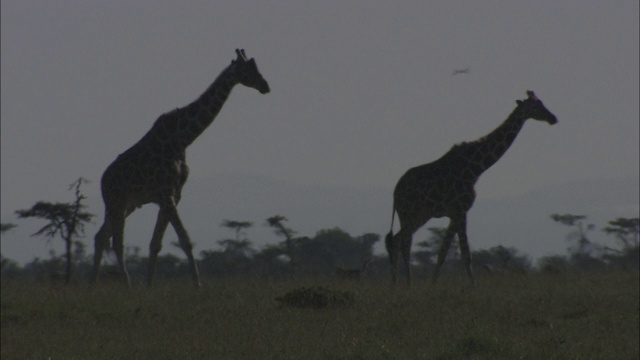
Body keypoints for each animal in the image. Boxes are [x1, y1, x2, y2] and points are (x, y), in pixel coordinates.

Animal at [91, 48, 268, 286]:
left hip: (128, 205)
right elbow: (185, 240)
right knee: (116, 243)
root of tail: (103, 180)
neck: (182, 140)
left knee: (101, 237)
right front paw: (197, 285)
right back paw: (127, 286)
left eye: (256, 66)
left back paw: (92, 286)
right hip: (116, 203)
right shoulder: (166, 194)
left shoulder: (174, 194)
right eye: (247, 69)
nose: (265, 86)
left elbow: (155, 244)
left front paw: (149, 286)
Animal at [384, 91, 556, 286]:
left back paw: (397, 285)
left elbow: (443, 252)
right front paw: (473, 287)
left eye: (542, 102)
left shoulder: (455, 213)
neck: (476, 168)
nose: (553, 118)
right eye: (535, 106)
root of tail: (396, 192)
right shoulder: (461, 210)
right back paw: (405, 284)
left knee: (398, 239)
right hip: (409, 213)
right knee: (403, 241)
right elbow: (465, 254)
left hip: (420, 215)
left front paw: (433, 284)